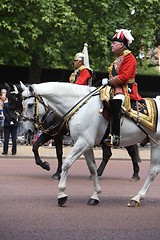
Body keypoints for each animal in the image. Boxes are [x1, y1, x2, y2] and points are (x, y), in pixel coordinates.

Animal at [20, 81, 160, 207]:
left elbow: (65, 161)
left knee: (151, 169)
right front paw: (95, 195)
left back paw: (136, 196)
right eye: (22, 104)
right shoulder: (84, 144)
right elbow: (91, 168)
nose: (27, 130)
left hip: (155, 143)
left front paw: (61, 194)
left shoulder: (80, 141)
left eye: (30, 105)